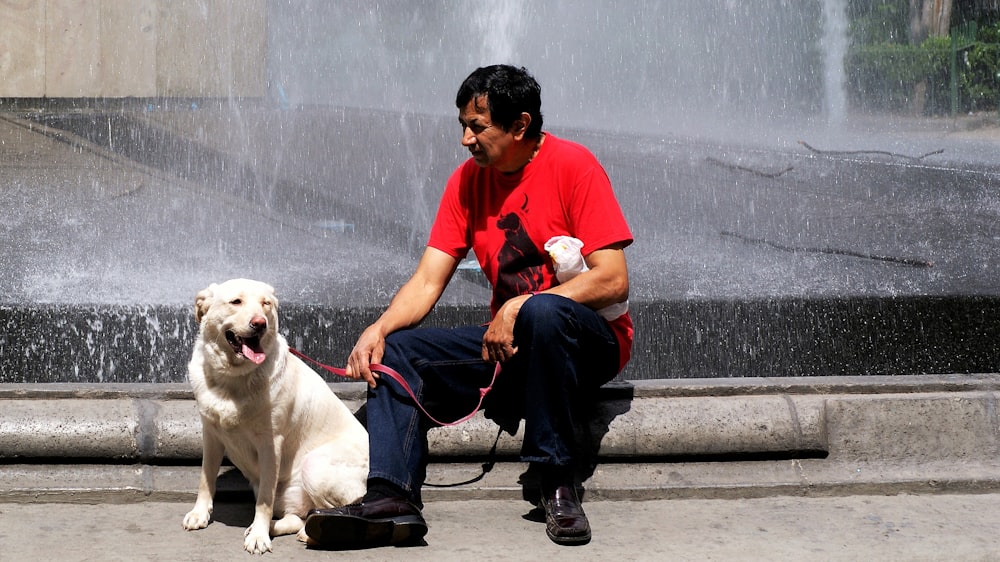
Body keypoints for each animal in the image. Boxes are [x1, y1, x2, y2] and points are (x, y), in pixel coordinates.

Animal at [182, 276, 370, 552]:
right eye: (236, 301)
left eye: (266, 304)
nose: (260, 323)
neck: (233, 379)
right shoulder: (211, 434)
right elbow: (206, 479)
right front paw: (200, 514)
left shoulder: (271, 444)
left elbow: (264, 501)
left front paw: (259, 536)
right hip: (288, 495)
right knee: (296, 515)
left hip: (314, 467)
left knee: (335, 511)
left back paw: (309, 533)